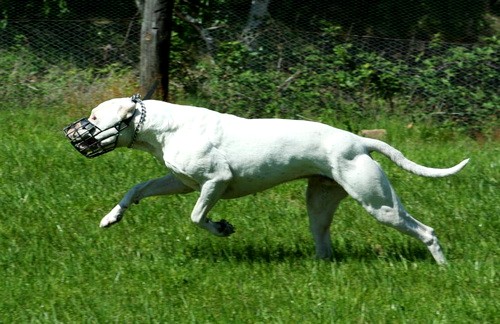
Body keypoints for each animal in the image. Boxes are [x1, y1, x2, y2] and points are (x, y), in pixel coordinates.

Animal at [63, 95, 468, 264]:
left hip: (379, 204)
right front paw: (111, 217)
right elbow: (137, 189)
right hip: (319, 204)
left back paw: (442, 266)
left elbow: (196, 216)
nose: (72, 133)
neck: (164, 127)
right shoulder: (180, 181)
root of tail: (357, 141)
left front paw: (221, 227)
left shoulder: (214, 182)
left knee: (426, 231)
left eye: (95, 118)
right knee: (323, 240)